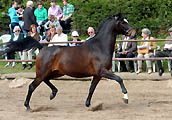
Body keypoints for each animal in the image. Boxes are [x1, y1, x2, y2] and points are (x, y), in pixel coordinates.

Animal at [0, 13, 136, 110]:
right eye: (123, 22)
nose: (134, 33)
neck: (100, 46)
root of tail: (42, 47)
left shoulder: (97, 74)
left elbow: (91, 89)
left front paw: (88, 104)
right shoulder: (103, 71)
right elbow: (119, 79)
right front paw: (126, 98)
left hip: (56, 72)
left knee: (46, 80)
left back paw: (53, 94)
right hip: (43, 72)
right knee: (32, 86)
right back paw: (28, 106)